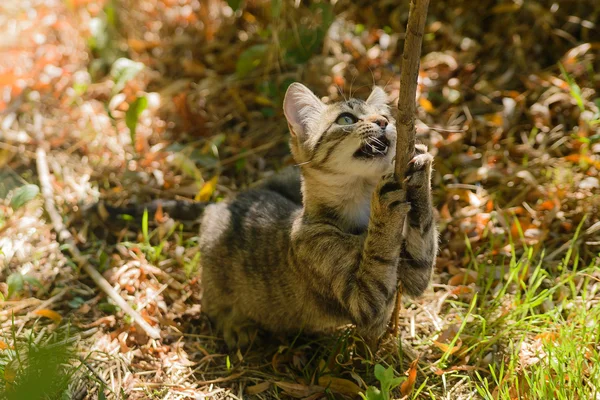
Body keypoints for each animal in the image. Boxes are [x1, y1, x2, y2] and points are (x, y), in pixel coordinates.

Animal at [199, 83, 438, 346]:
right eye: (346, 119)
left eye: (386, 116)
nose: (383, 122)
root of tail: (223, 203)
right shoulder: (365, 303)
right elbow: (379, 256)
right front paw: (384, 209)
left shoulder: (413, 273)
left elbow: (424, 238)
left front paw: (421, 170)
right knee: (210, 306)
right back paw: (235, 325)